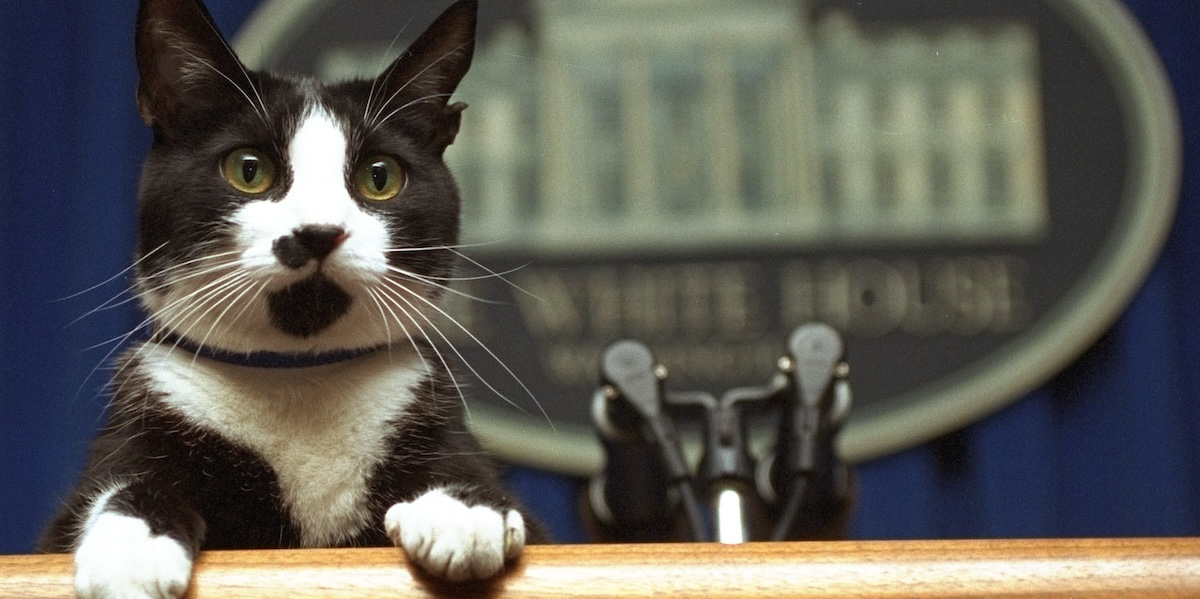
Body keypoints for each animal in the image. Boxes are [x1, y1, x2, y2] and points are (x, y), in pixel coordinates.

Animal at [36, 1, 544, 595]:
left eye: (380, 177)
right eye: (248, 169)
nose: (319, 232)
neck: (299, 378)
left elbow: (475, 480)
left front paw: (462, 512)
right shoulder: (134, 432)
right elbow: (125, 486)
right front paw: (131, 550)